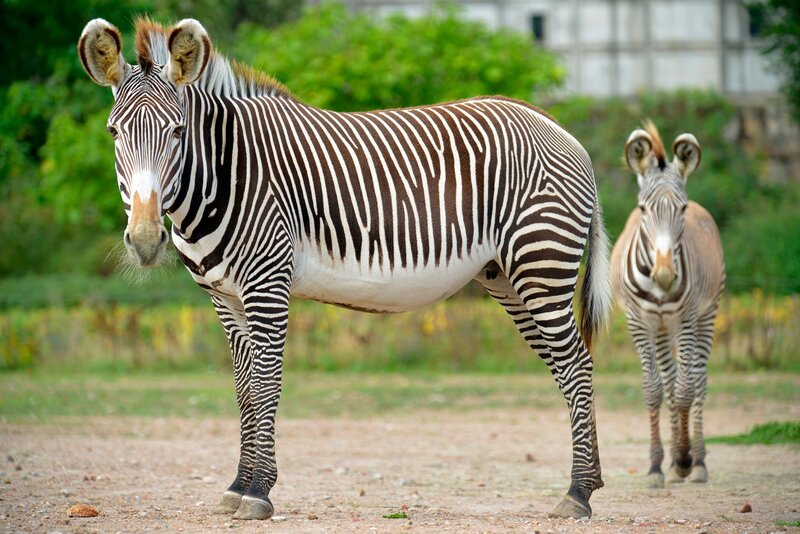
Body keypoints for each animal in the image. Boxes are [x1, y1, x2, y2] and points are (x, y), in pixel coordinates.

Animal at [78, 17, 612, 520]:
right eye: (113, 132)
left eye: (178, 132)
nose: (146, 240)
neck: (224, 176)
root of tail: (554, 124)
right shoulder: (223, 296)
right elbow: (245, 389)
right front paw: (237, 486)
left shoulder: (267, 282)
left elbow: (267, 383)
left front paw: (259, 492)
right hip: (508, 277)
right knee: (565, 367)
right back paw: (588, 483)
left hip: (542, 263)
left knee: (578, 364)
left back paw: (578, 494)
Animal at [610, 121, 725, 488]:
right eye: (643, 209)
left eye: (682, 209)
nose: (663, 276)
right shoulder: (639, 322)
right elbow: (654, 389)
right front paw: (657, 466)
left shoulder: (687, 320)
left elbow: (687, 389)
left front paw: (686, 459)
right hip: (662, 328)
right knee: (672, 379)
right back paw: (674, 461)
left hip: (707, 314)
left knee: (697, 380)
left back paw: (696, 462)